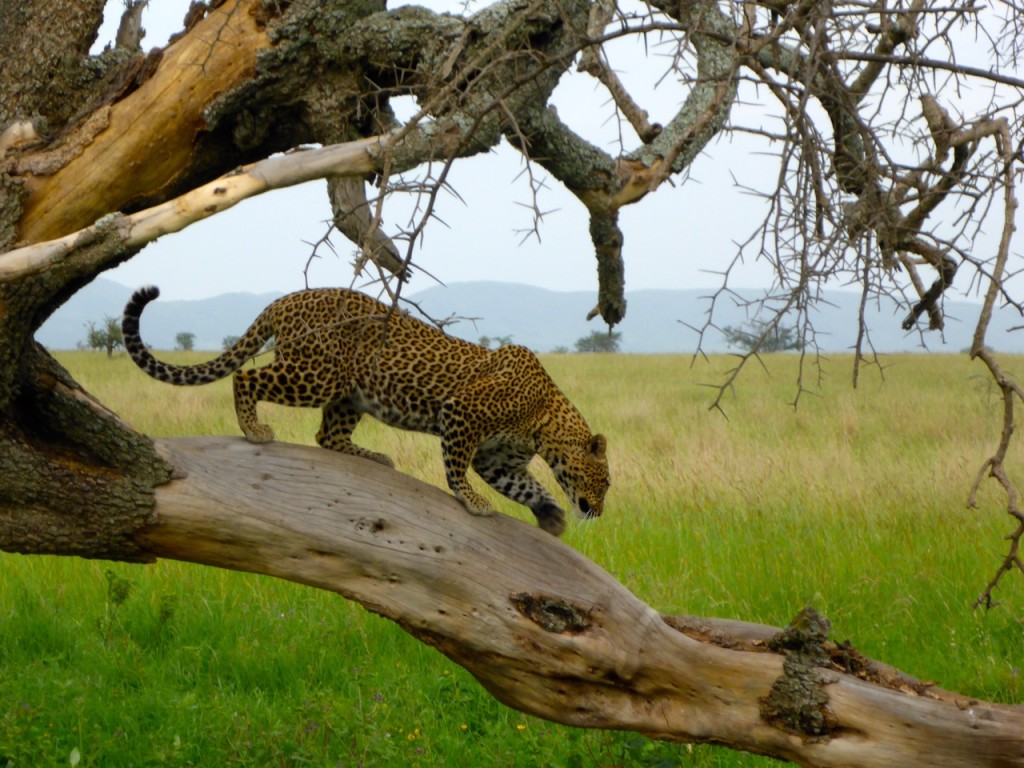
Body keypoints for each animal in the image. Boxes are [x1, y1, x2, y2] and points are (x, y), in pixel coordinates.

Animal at [123, 286, 610, 536]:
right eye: (603, 482)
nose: (599, 512)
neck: (545, 421)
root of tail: (283, 299)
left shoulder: (498, 459)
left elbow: (525, 485)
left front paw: (550, 514)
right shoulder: (461, 415)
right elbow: (456, 469)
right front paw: (472, 502)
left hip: (347, 394)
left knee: (327, 436)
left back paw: (373, 457)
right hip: (315, 376)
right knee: (246, 378)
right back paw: (254, 429)